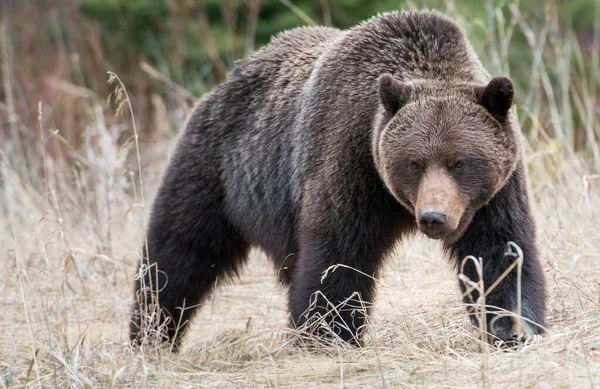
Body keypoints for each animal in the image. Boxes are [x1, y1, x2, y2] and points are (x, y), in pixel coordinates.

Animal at [130, 9, 544, 348]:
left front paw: (512, 326)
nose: (433, 217)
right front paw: (329, 333)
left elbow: (499, 250)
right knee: (180, 252)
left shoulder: (493, 192)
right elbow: (337, 255)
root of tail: (224, 81)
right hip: (216, 169)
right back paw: (150, 332)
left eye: (459, 162)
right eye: (415, 163)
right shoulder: (349, 160)